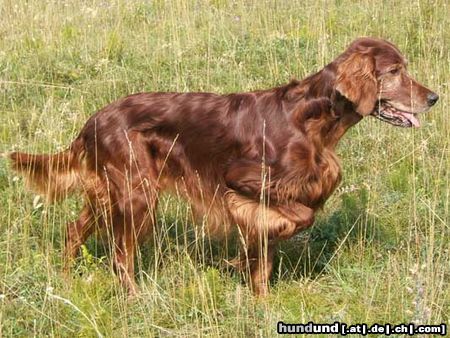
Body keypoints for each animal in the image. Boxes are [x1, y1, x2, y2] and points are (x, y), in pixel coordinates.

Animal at [9, 37, 440, 296]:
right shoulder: (243, 182)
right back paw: (133, 297)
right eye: (395, 71)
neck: (311, 121)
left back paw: (65, 278)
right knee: (120, 255)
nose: (434, 97)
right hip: (136, 194)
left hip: (109, 192)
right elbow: (298, 217)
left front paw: (261, 300)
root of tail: (93, 119)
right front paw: (246, 257)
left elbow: (266, 257)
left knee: (72, 230)